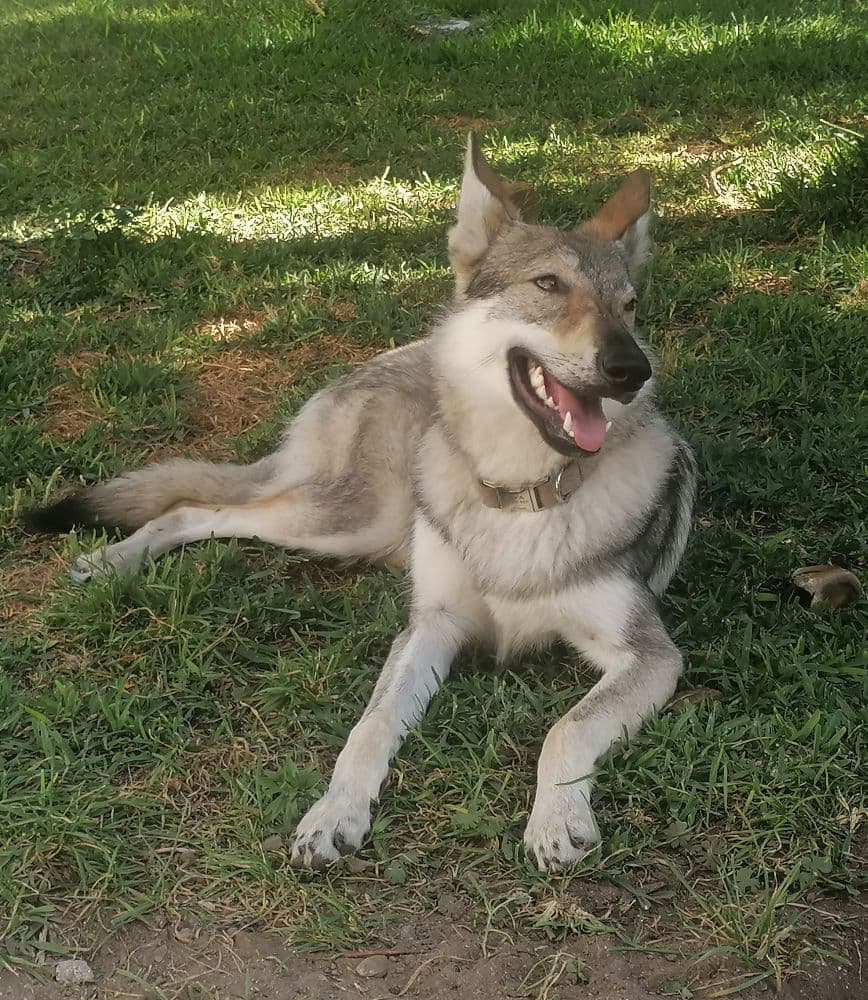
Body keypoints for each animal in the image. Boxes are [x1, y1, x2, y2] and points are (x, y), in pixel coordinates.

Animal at [26, 135, 697, 871]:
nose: (632, 370)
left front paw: (555, 819)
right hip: (348, 521)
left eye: (629, 305)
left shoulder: (650, 654)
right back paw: (112, 562)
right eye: (548, 285)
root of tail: (382, 361)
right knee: (195, 510)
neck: (519, 498)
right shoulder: (430, 626)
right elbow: (370, 727)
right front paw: (333, 813)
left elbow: (565, 728)